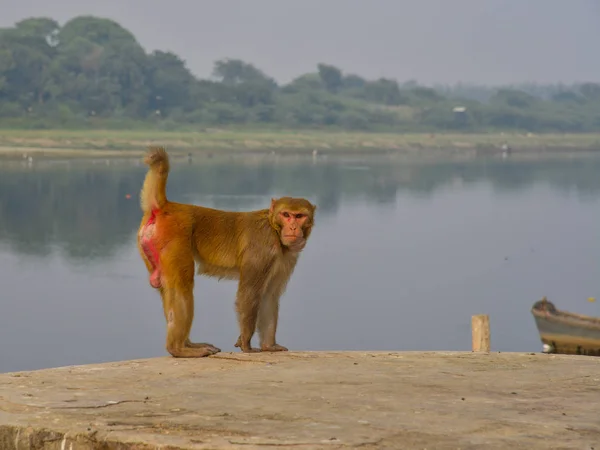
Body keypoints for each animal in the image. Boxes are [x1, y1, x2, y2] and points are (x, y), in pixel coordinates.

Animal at [135, 148, 314, 358]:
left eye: (299, 216)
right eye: (286, 215)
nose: (293, 228)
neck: (274, 230)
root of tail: (166, 206)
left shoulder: (285, 259)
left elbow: (269, 295)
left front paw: (269, 345)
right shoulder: (263, 249)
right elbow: (249, 293)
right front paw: (246, 343)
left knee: (167, 289)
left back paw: (188, 344)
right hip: (173, 240)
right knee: (182, 287)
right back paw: (179, 349)